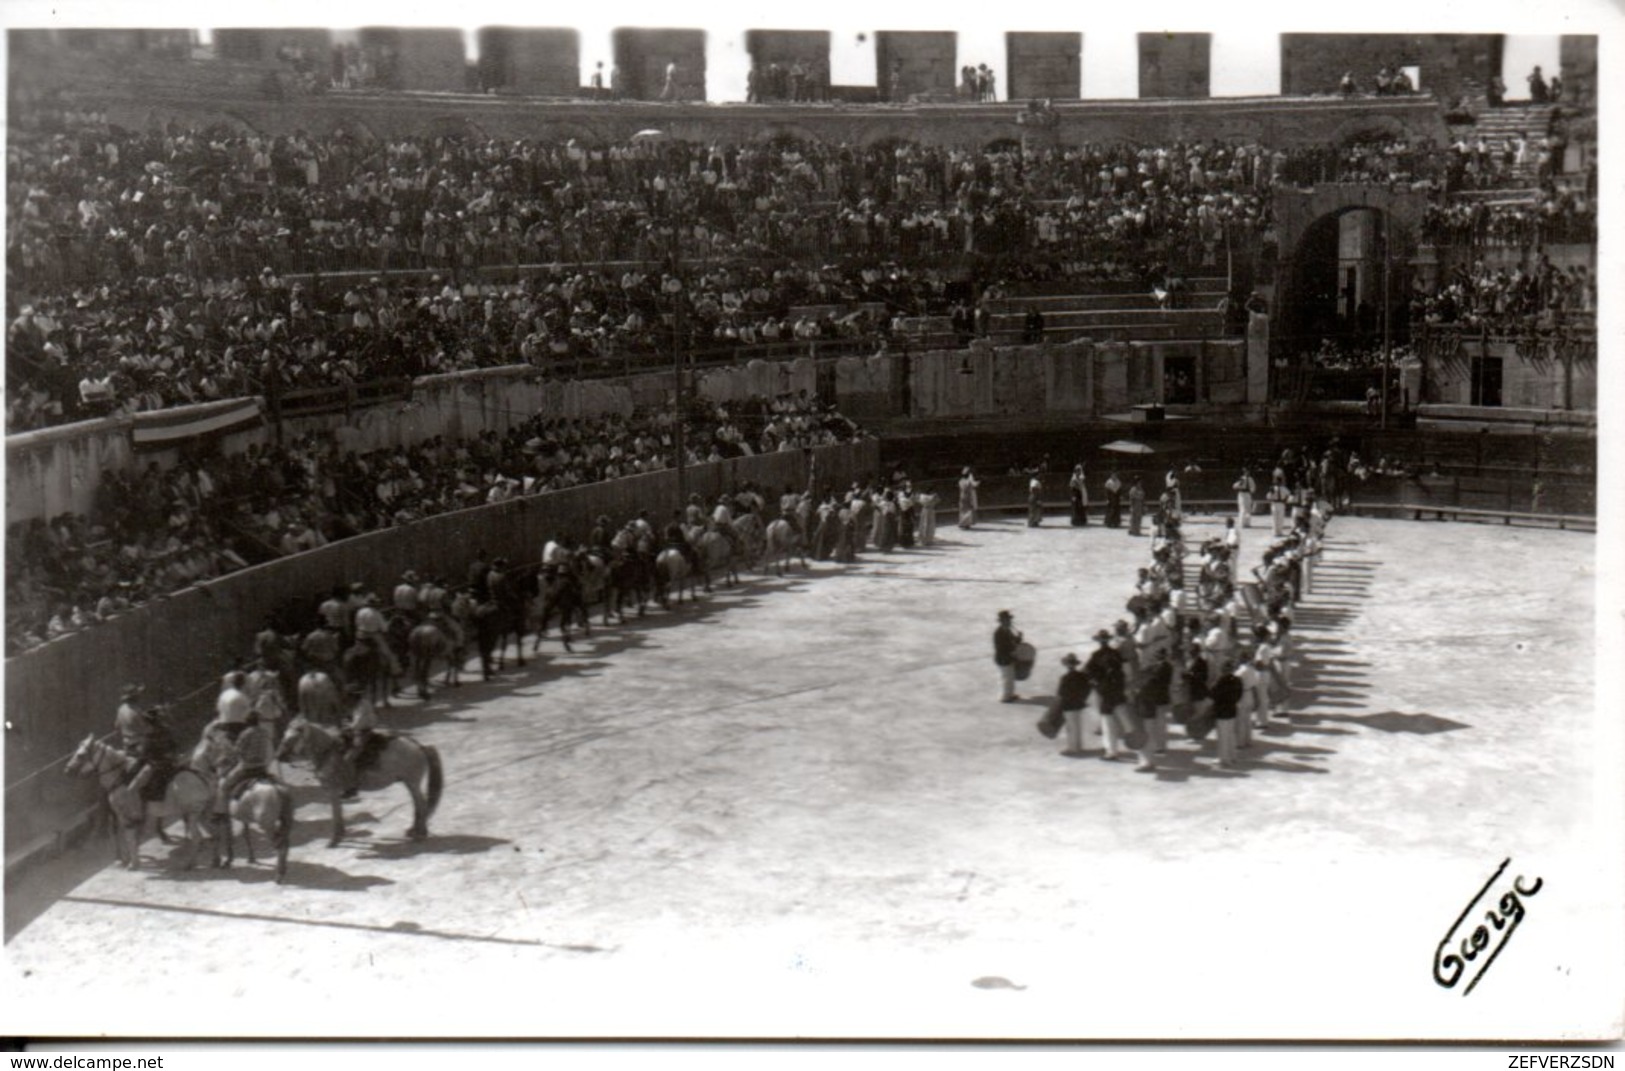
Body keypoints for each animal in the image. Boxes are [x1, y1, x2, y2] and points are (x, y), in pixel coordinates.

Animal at [277, 715, 442, 851]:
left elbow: (336, 814)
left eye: (291, 739)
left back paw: (420, 834)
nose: (279, 756)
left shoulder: (332, 791)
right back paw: (415, 830)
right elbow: (339, 813)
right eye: (283, 736)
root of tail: (419, 746)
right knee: (418, 805)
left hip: (412, 782)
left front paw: (335, 840)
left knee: (421, 805)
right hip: (409, 783)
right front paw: (340, 836)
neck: (328, 753)